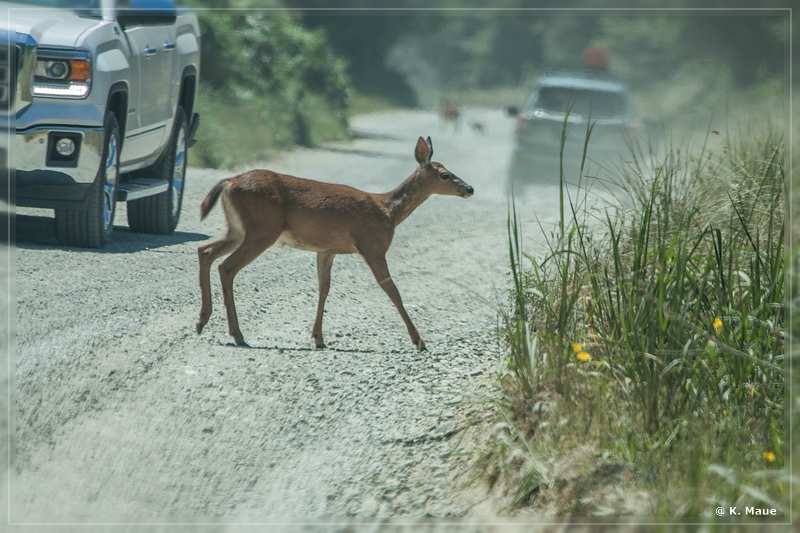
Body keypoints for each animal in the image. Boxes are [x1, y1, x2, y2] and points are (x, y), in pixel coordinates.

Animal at [196, 137, 472, 352]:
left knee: (205, 250)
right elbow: (392, 290)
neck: (388, 211)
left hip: (238, 230)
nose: (470, 188)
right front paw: (419, 341)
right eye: (445, 174)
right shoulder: (372, 245)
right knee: (226, 266)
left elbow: (324, 288)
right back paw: (236, 334)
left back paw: (202, 321)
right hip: (262, 230)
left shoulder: (327, 250)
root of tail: (229, 182)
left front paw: (318, 337)